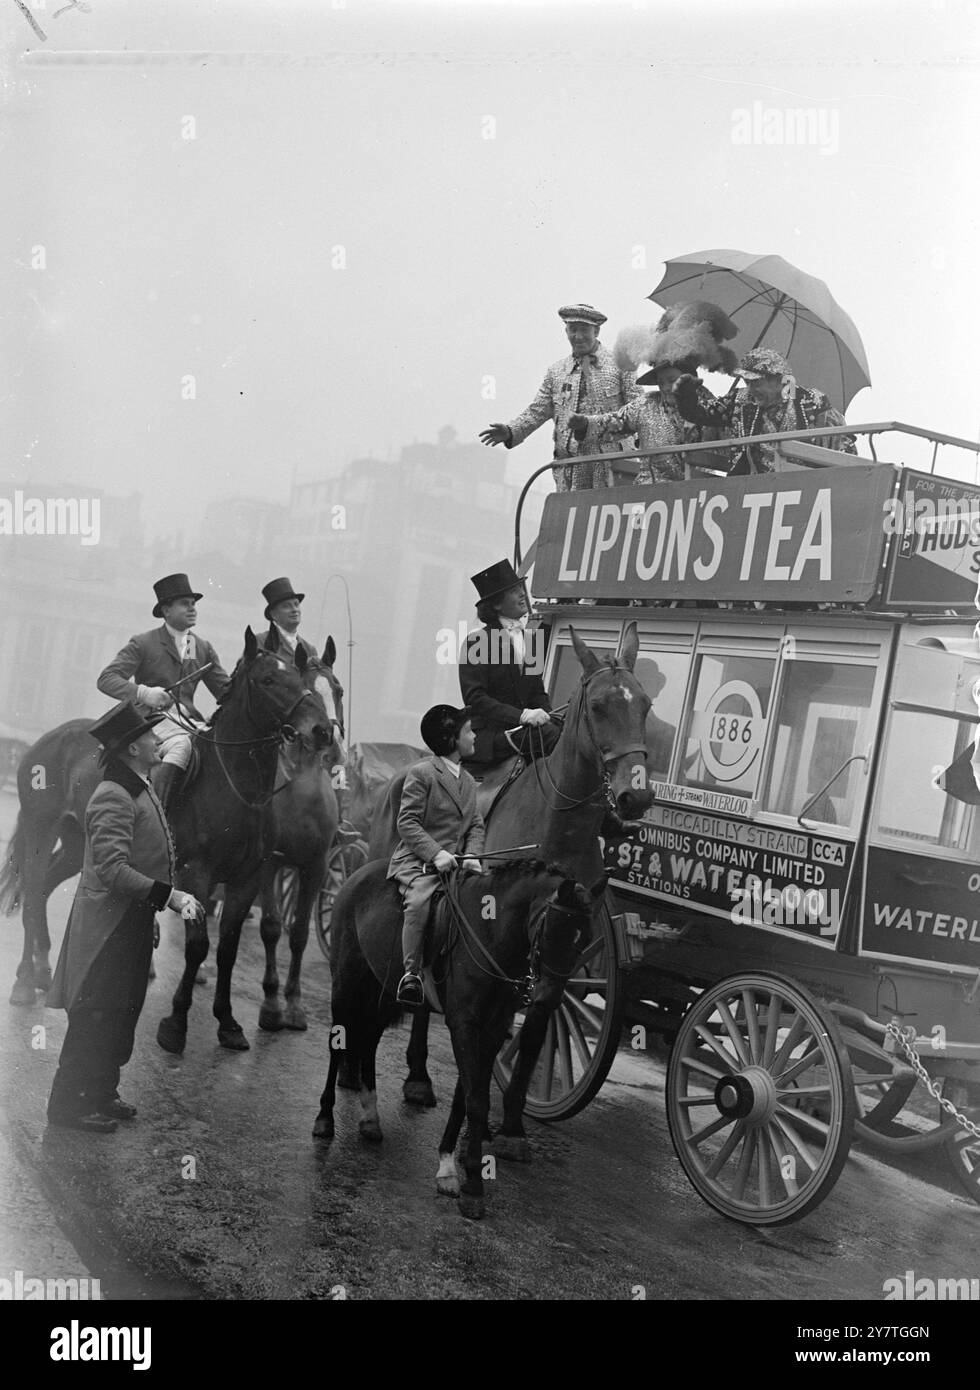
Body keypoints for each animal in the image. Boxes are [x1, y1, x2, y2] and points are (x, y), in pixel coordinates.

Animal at [315, 856, 589, 1217]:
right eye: (552, 929)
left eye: (583, 940)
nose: (548, 998)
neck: (491, 933)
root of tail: (357, 873)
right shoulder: (464, 1024)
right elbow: (477, 1100)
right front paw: (473, 1186)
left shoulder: (492, 1028)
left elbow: (466, 1096)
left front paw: (449, 1167)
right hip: (346, 983)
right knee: (338, 1043)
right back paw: (324, 1119)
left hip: (382, 991)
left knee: (370, 1042)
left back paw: (370, 1118)